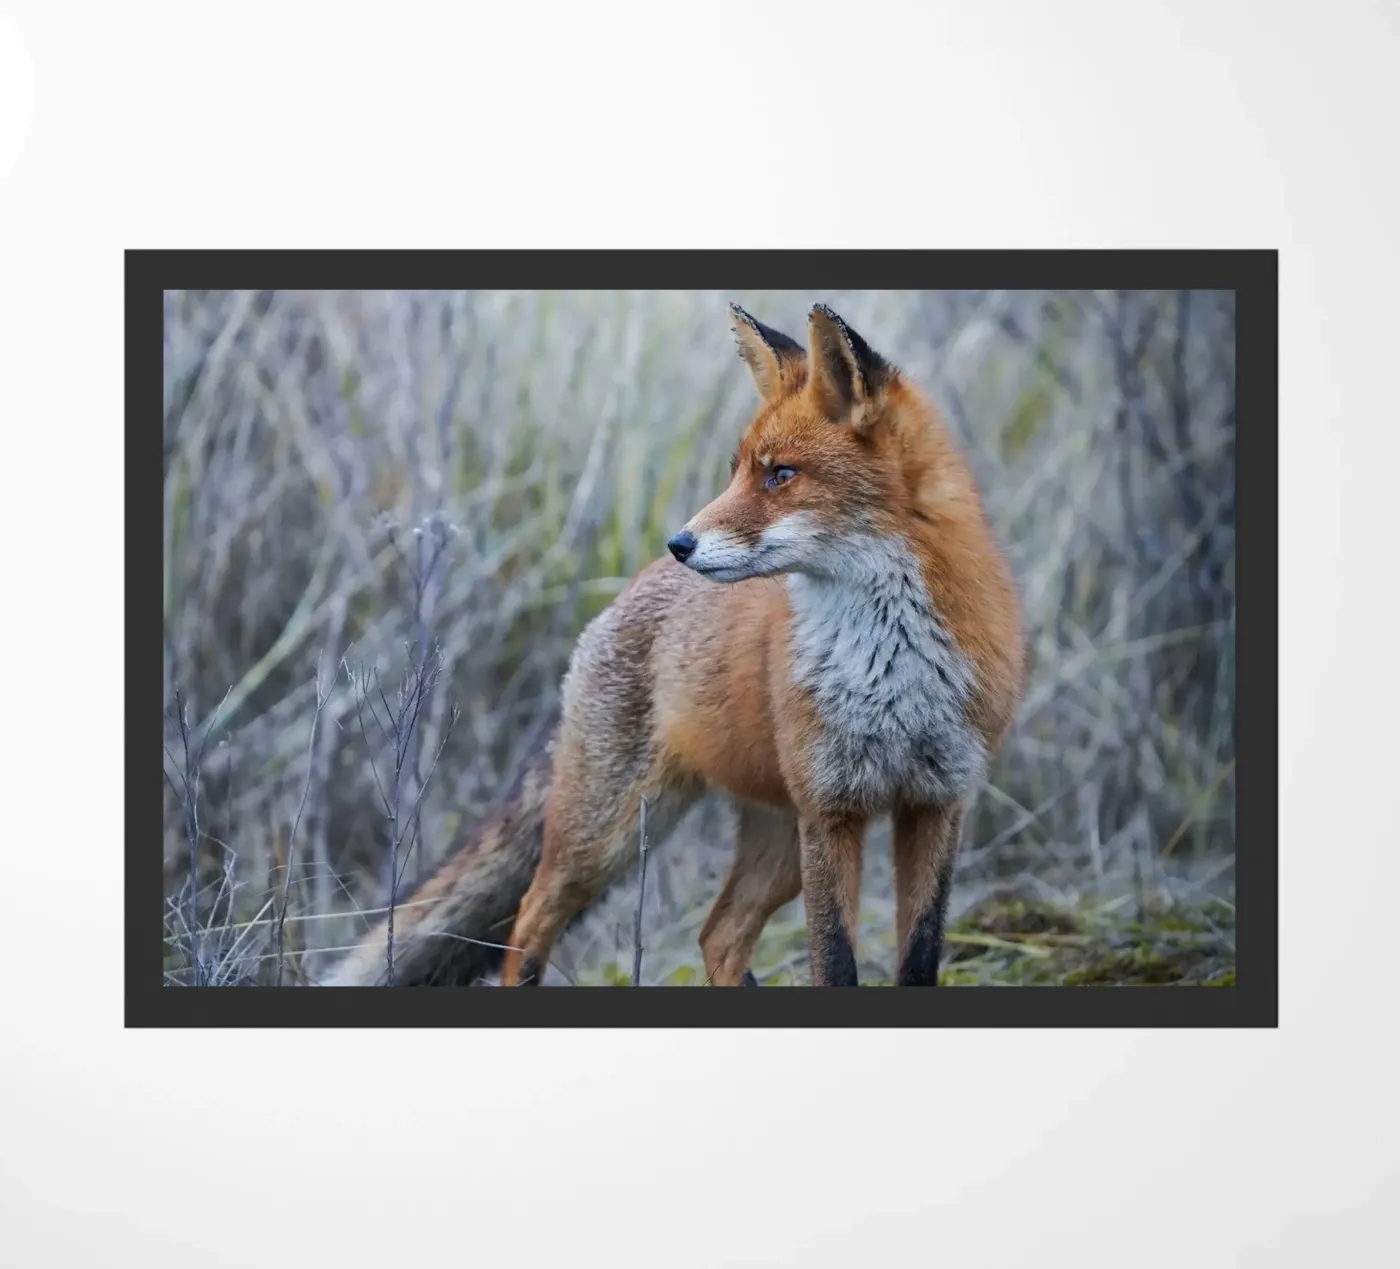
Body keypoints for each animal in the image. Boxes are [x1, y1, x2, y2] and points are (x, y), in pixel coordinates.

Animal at [325, 302, 1024, 988]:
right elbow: (835, 963)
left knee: (718, 935)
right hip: (608, 835)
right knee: (529, 919)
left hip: (776, 841)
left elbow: (920, 957)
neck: (889, 667)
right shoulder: (830, 811)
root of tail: (623, 595)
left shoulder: (937, 802)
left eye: (781, 474)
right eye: (739, 472)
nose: (680, 543)